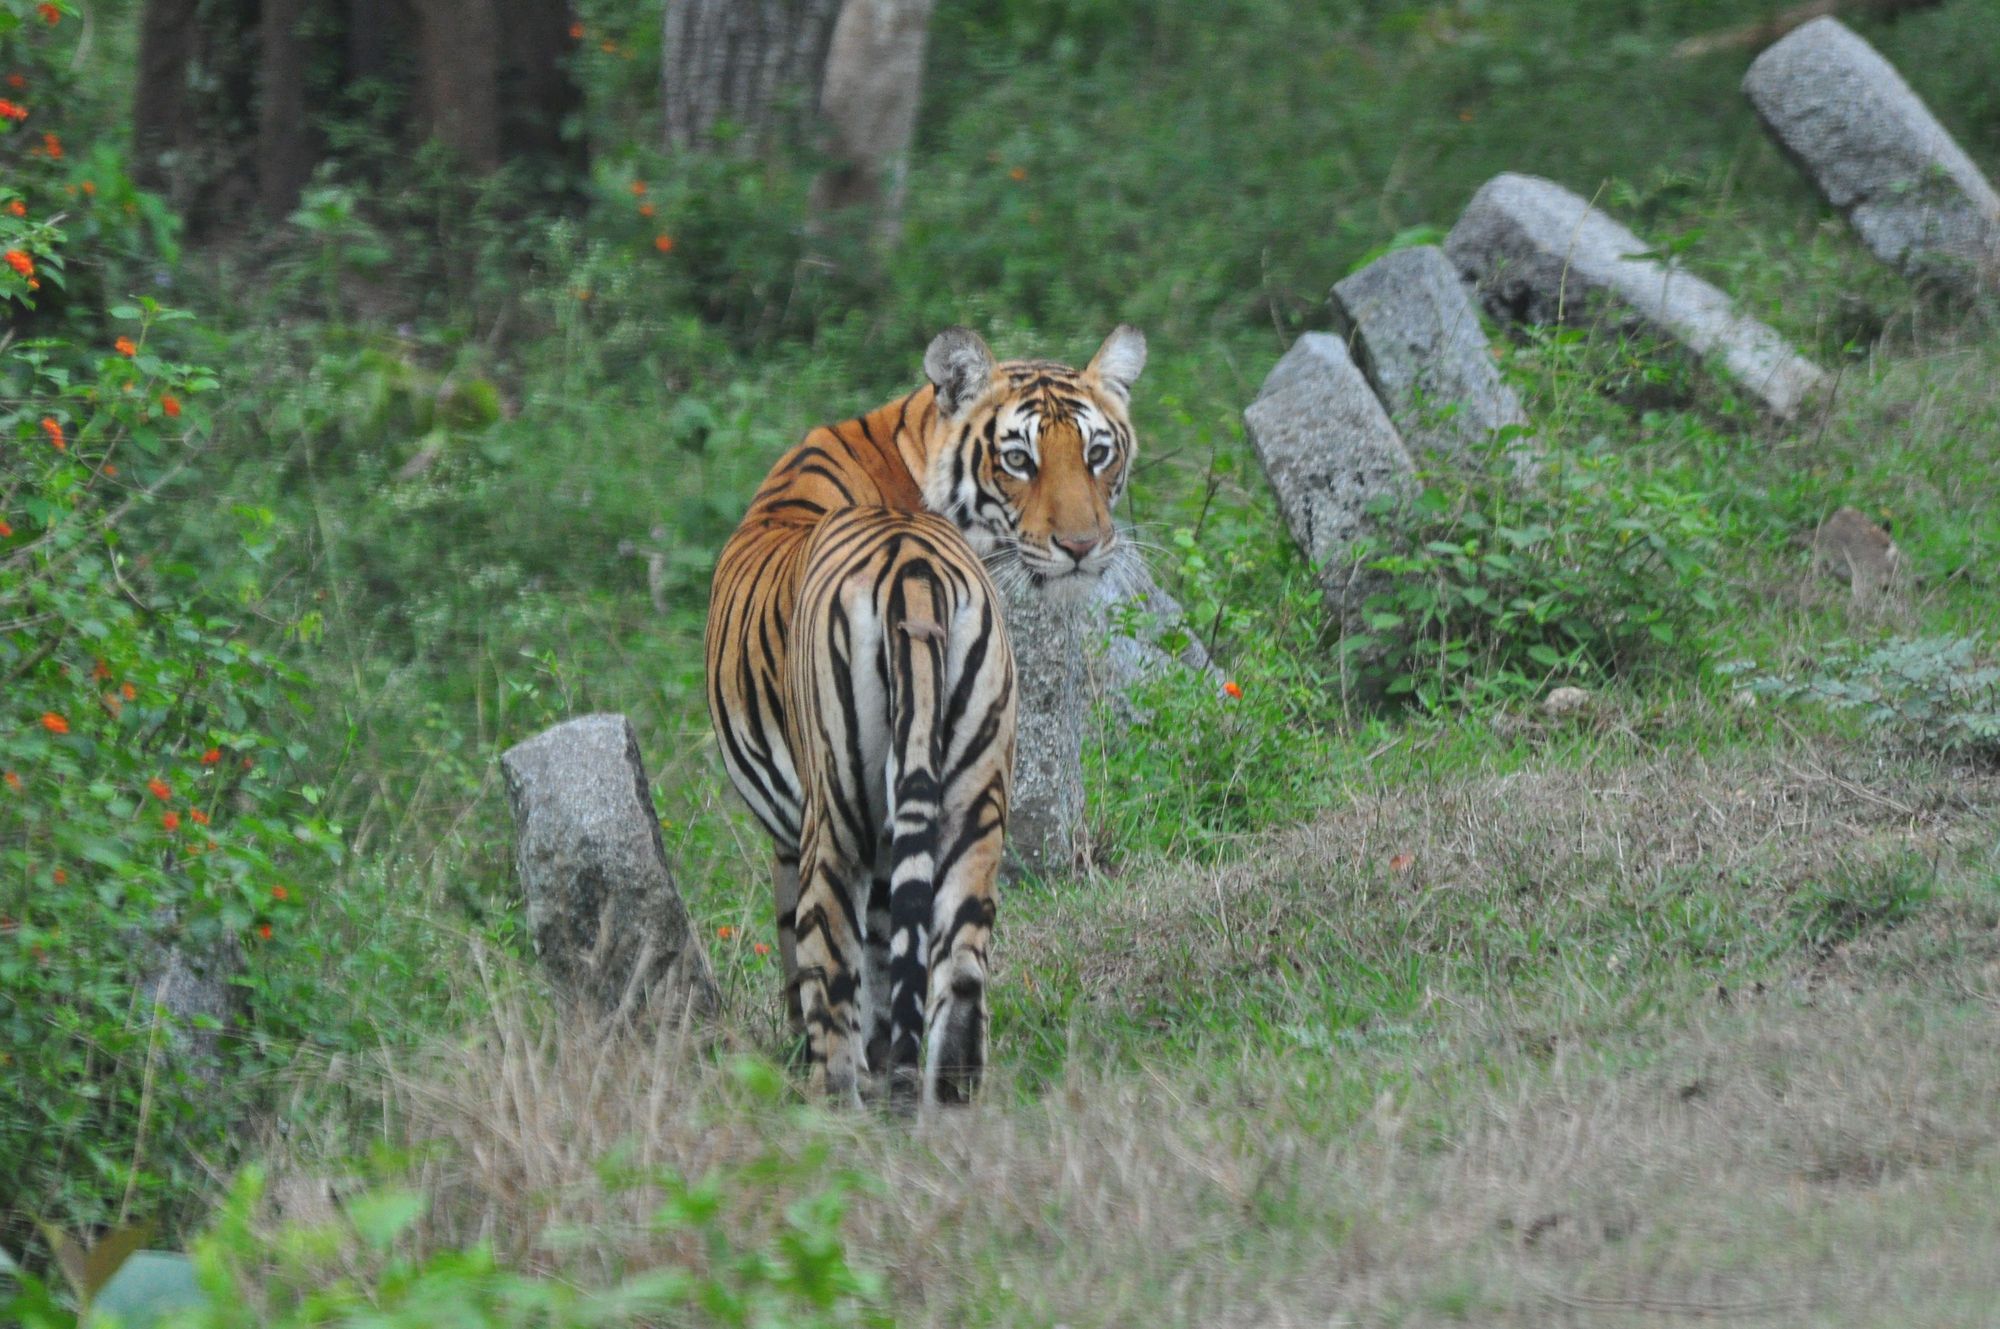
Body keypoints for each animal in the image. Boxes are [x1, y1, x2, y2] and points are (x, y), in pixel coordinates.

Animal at [704, 324, 1147, 1107]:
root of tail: (909, 565)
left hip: (836, 819)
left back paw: (838, 1111)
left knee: (833, 980)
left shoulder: (791, 840)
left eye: (1097, 453)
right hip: (975, 797)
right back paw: (947, 1105)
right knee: (961, 966)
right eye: (1019, 459)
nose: (1082, 548)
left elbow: (816, 966)